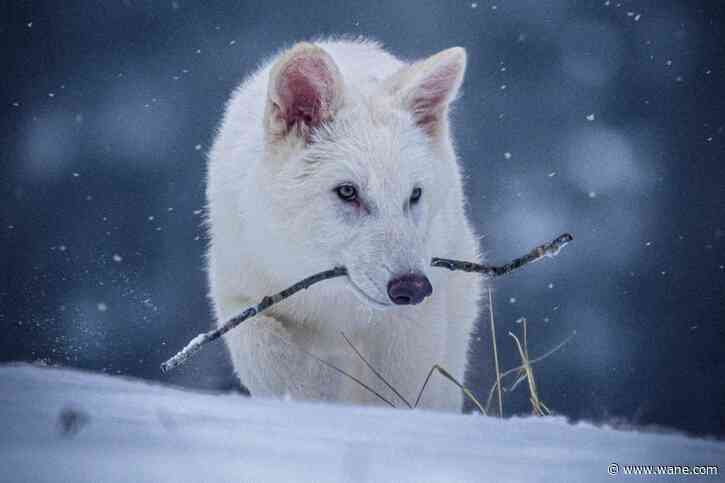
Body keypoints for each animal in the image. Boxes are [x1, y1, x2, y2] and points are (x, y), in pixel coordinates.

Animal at [206, 38, 482, 411]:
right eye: (347, 191)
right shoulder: (240, 297)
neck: (332, 298)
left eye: (414, 195)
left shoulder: (411, 325)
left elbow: (399, 395)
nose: (412, 287)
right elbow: (270, 358)